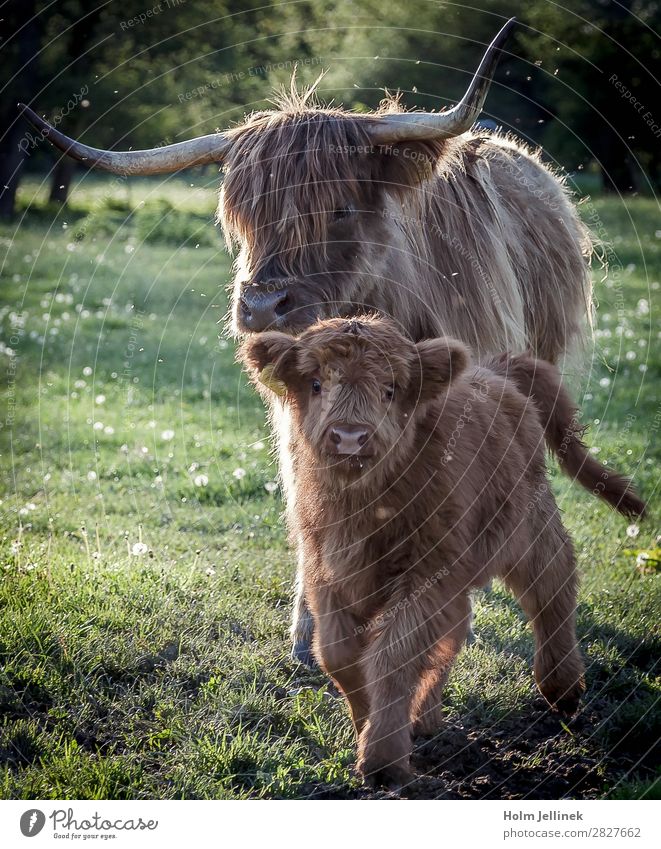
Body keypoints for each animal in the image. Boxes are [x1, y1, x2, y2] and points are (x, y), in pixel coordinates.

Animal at [240, 318, 640, 788]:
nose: (350, 436)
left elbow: (393, 654)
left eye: (390, 389)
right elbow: (338, 655)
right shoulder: (326, 573)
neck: (361, 506)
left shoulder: (425, 574)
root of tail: (496, 370)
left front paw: (383, 759)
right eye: (316, 383)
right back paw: (425, 717)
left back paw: (561, 687)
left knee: (553, 585)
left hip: (528, 528)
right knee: (456, 628)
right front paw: (367, 723)